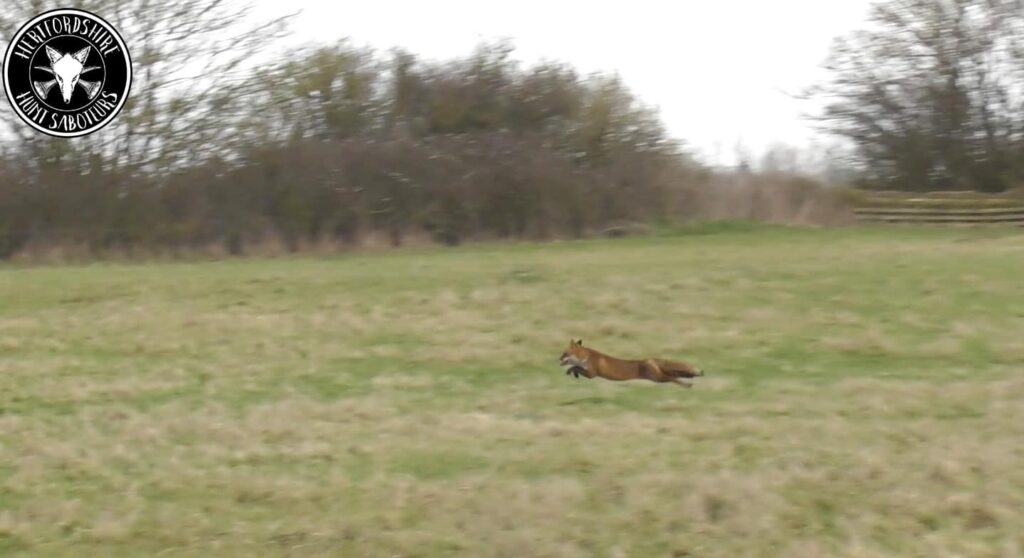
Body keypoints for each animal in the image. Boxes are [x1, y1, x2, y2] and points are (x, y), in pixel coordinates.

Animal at [559, 339, 704, 388]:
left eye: (564, 353)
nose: (558, 359)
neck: (587, 357)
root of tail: (650, 359)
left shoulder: (592, 374)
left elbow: (575, 367)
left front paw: (570, 371)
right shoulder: (588, 372)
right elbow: (575, 367)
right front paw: (572, 373)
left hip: (658, 378)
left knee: (674, 378)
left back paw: (687, 385)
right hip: (659, 376)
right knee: (679, 374)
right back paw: (692, 378)